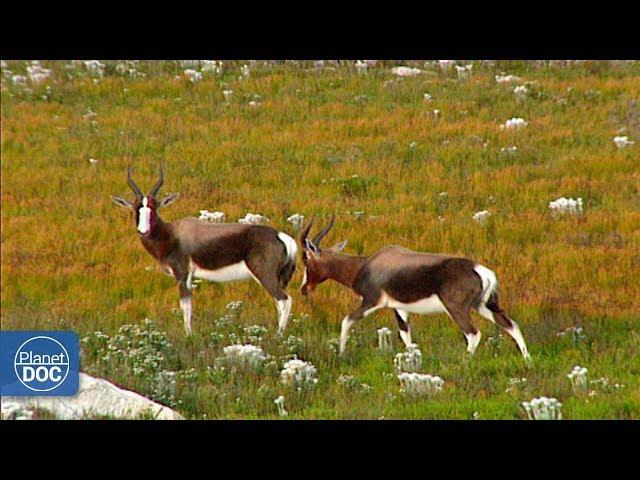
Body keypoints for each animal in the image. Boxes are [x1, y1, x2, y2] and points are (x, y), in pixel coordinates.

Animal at [112, 164, 298, 334]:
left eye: (154, 207)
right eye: (136, 208)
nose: (143, 231)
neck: (171, 233)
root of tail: (280, 235)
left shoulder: (183, 275)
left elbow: (186, 307)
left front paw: (189, 336)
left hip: (264, 275)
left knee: (285, 300)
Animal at [300, 217, 528, 360]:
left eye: (307, 261)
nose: (304, 288)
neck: (368, 265)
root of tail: (477, 268)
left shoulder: (371, 302)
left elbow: (346, 321)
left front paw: (340, 354)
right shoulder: (399, 308)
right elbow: (406, 336)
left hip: (456, 308)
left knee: (473, 333)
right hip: (483, 306)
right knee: (511, 325)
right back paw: (528, 360)